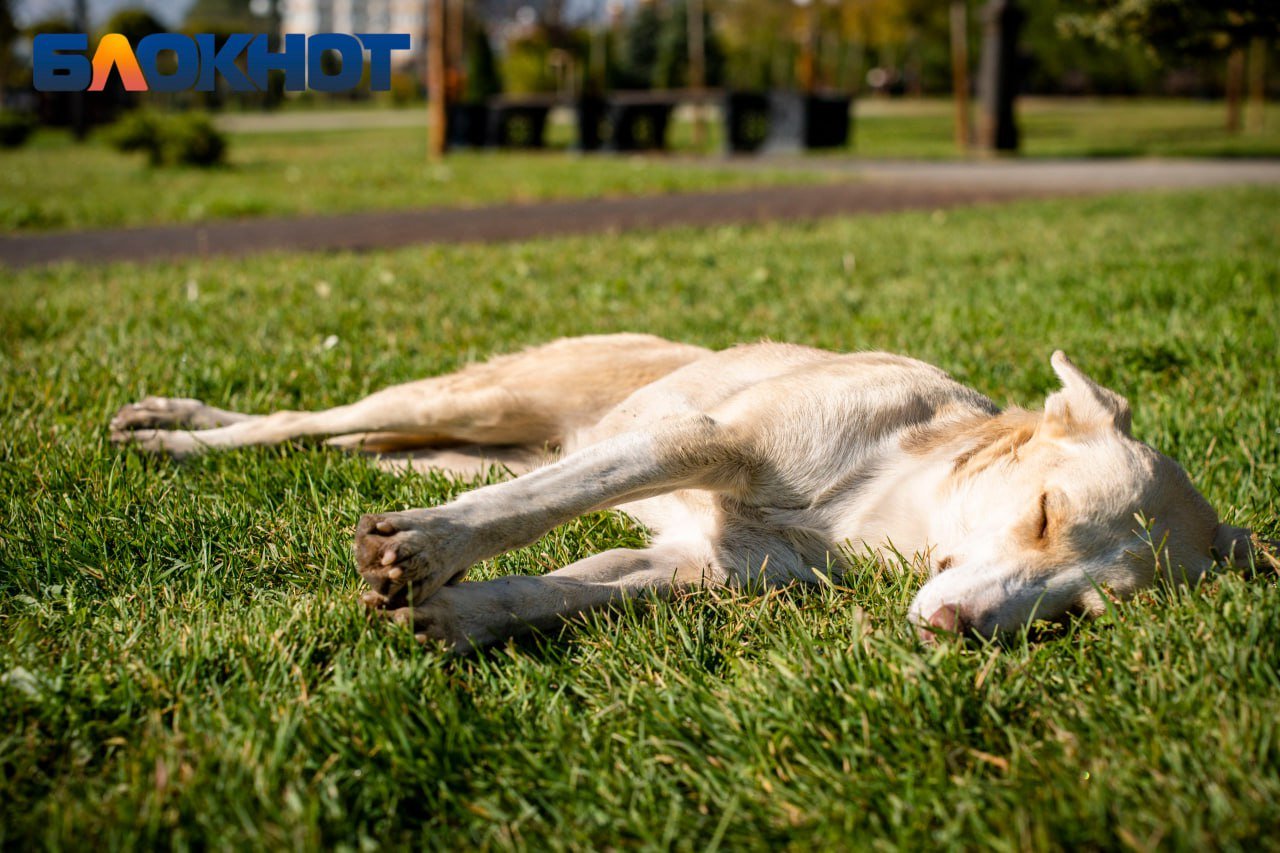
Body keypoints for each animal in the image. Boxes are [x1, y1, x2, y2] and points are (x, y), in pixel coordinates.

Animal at [112, 327, 1259, 648]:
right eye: (1043, 513)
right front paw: (426, 554)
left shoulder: (692, 565)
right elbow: (531, 517)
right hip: (477, 397)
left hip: (473, 437)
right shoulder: (697, 438)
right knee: (304, 422)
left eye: (1085, 608)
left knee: (386, 451)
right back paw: (171, 433)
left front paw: (451, 616)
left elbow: (555, 586)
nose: (955, 631)